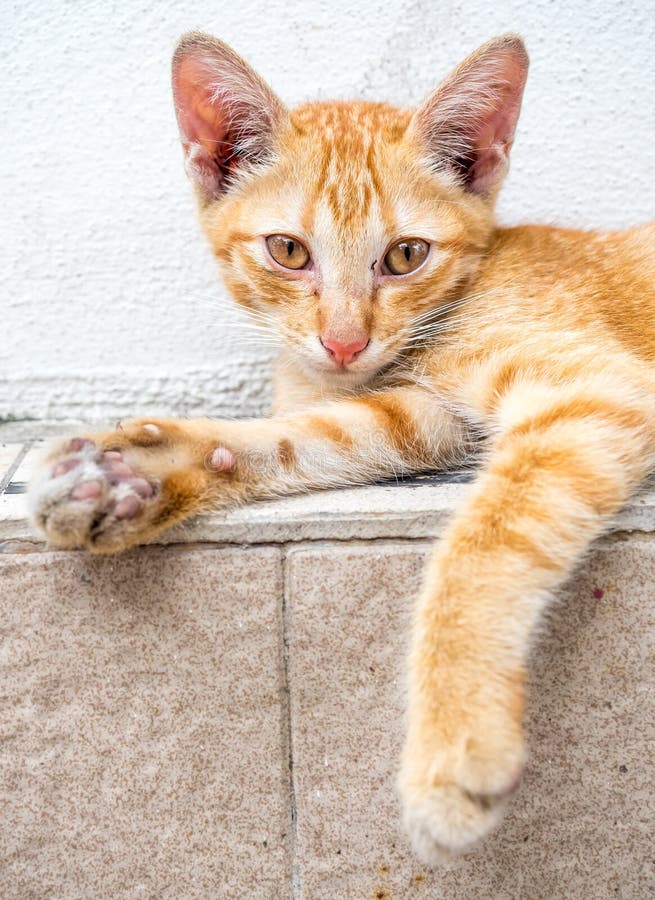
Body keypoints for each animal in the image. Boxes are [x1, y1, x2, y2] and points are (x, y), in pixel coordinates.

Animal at [29, 33, 655, 864]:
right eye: (288, 252)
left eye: (406, 255)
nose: (344, 341)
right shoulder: (420, 416)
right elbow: (311, 439)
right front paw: (132, 470)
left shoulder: (596, 393)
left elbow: (481, 544)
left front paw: (455, 738)